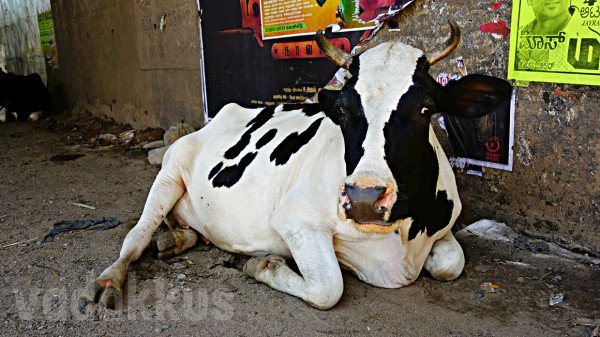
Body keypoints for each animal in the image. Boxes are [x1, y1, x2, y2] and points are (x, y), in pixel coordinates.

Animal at [91, 20, 512, 310]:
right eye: (342, 111)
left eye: (426, 109)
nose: (364, 198)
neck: (398, 238)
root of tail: (225, 111)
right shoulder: (296, 220)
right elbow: (328, 288)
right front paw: (262, 266)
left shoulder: (443, 226)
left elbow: (451, 263)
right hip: (169, 171)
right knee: (137, 235)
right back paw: (113, 278)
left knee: (184, 228)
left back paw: (175, 239)